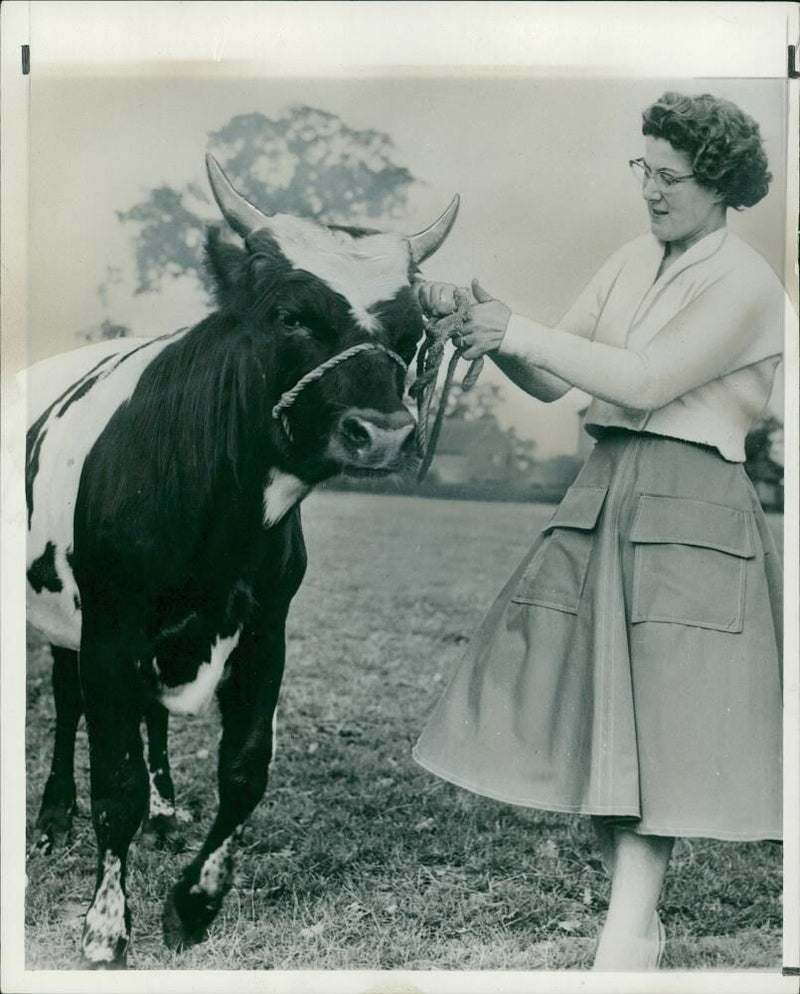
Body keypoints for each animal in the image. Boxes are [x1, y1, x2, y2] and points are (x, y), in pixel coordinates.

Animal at [26, 151, 456, 964]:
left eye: (412, 330)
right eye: (290, 316)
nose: (384, 432)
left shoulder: (265, 630)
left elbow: (245, 772)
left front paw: (194, 903)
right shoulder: (109, 630)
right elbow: (116, 785)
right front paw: (106, 924)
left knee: (150, 717)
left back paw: (167, 813)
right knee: (68, 705)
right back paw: (53, 814)